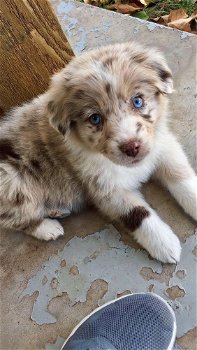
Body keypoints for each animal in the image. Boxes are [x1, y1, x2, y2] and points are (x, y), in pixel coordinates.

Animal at [0, 42, 196, 262]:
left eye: (137, 101)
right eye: (95, 119)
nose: (132, 147)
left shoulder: (163, 146)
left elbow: (182, 177)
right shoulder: (105, 189)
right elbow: (136, 213)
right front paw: (164, 244)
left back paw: (56, 210)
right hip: (11, 180)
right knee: (15, 219)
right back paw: (48, 227)